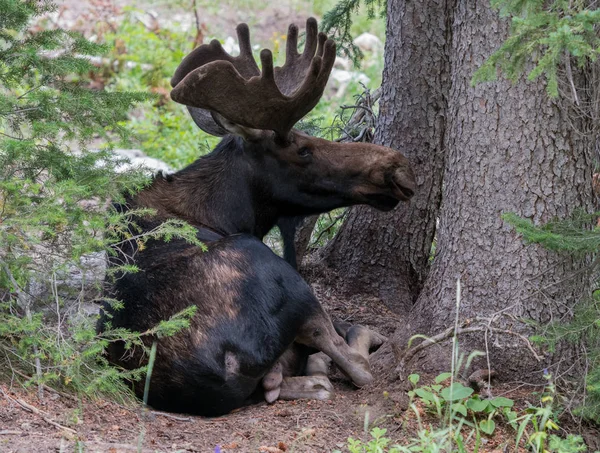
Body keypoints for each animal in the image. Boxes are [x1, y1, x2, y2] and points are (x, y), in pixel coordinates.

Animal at [99, 16, 418, 414]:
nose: (398, 167)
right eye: (302, 149)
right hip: (280, 273)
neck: (223, 215)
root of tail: (225, 363)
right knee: (355, 365)